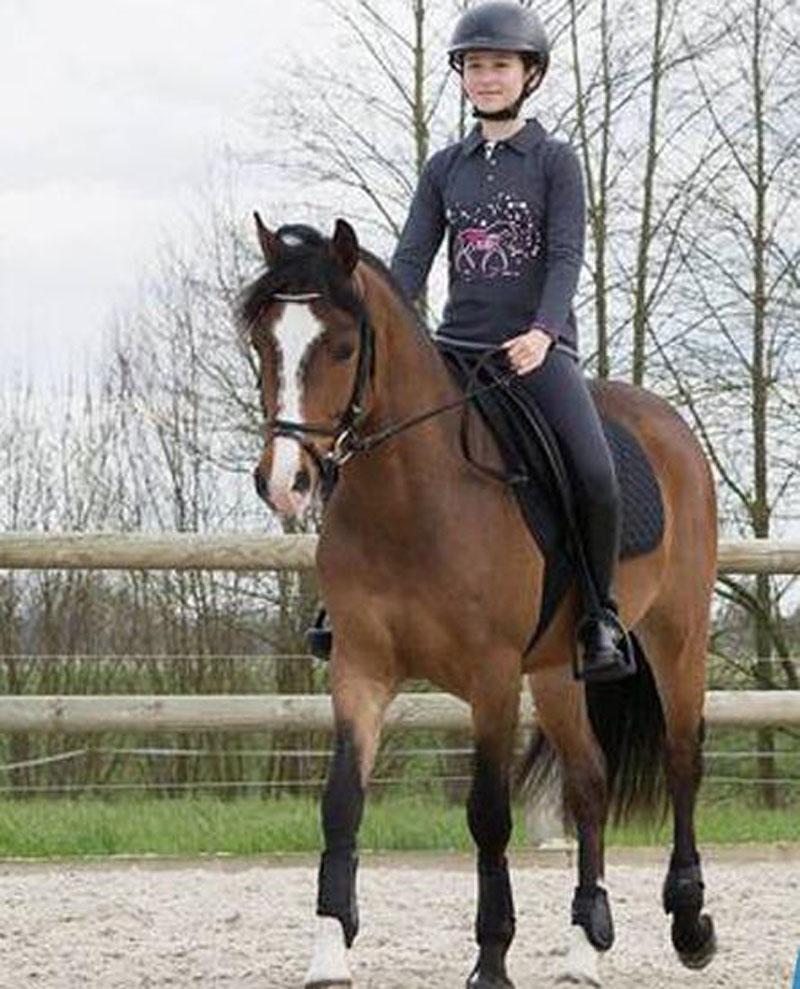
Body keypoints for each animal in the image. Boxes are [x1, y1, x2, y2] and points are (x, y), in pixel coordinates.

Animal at [239, 215, 718, 988]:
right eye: (262, 342)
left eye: (341, 346)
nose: (285, 482)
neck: (411, 497)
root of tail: (665, 422)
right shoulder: (360, 669)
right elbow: (341, 803)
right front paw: (329, 950)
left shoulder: (492, 675)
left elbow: (488, 814)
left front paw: (491, 958)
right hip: (556, 671)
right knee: (590, 780)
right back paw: (586, 946)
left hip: (677, 635)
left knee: (681, 759)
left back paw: (690, 923)